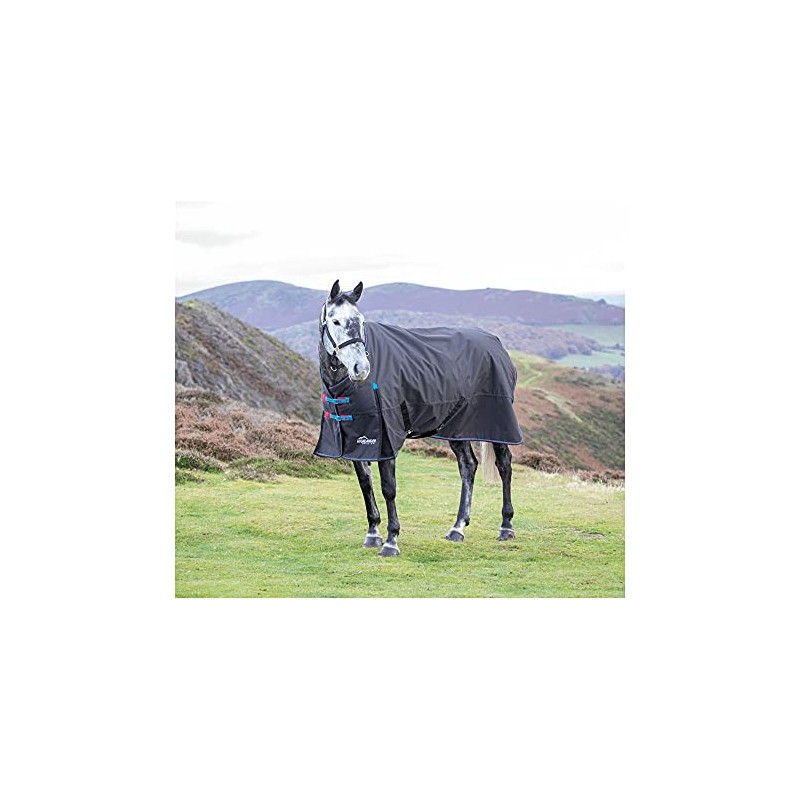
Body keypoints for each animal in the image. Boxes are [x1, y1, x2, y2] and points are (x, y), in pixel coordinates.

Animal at [313, 280, 522, 557]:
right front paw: (373, 534)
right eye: (335, 321)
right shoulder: (356, 437)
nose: (361, 369)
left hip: (496, 423)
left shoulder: (385, 439)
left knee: (504, 465)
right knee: (468, 466)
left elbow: (388, 488)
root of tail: (498, 346)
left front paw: (391, 542)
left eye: (361, 321)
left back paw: (506, 526)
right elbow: (365, 484)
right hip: (457, 427)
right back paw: (457, 528)